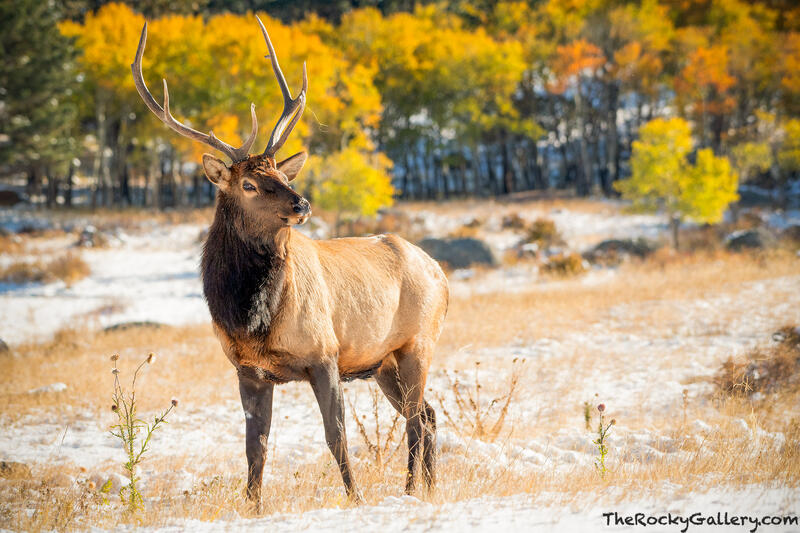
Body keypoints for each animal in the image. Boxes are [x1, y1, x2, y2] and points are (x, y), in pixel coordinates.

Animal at [131, 18, 449, 508]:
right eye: (248, 184)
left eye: (281, 173)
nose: (302, 203)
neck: (253, 319)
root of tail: (441, 273)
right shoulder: (248, 370)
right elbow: (255, 446)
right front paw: (253, 506)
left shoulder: (325, 353)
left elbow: (335, 436)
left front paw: (355, 498)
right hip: (383, 362)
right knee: (429, 416)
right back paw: (428, 488)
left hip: (418, 342)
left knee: (416, 420)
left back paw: (412, 490)